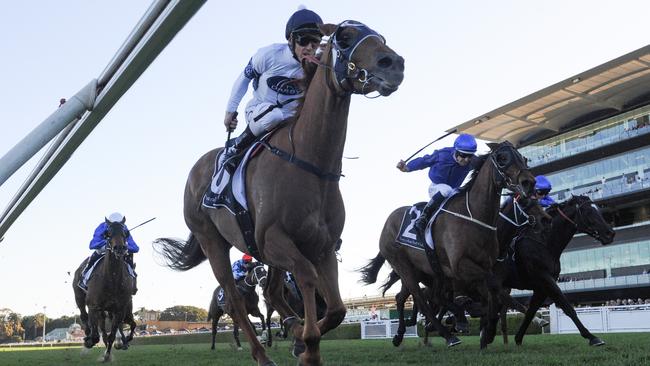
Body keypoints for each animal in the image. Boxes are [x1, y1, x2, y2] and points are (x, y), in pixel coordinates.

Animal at [154, 20, 402, 366]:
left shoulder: (322, 246)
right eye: (344, 36)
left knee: (271, 291)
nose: (393, 64)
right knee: (234, 299)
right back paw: (261, 354)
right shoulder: (274, 239)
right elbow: (307, 278)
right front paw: (308, 346)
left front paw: (301, 338)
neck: (309, 163)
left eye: (381, 38)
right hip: (213, 242)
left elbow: (337, 309)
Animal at [360, 141, 532, 348]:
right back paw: (447, 335)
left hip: (431, 270)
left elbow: (494, 295)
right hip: (404, 267)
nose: (529, 183)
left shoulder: (485, 266)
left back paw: (402, 334)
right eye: (502, 158)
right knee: (420, 298)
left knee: (420, 297)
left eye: (523, 158)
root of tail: (388, 222)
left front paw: (486, 331)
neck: (474, 216)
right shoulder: (461, 266)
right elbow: (493, 290)